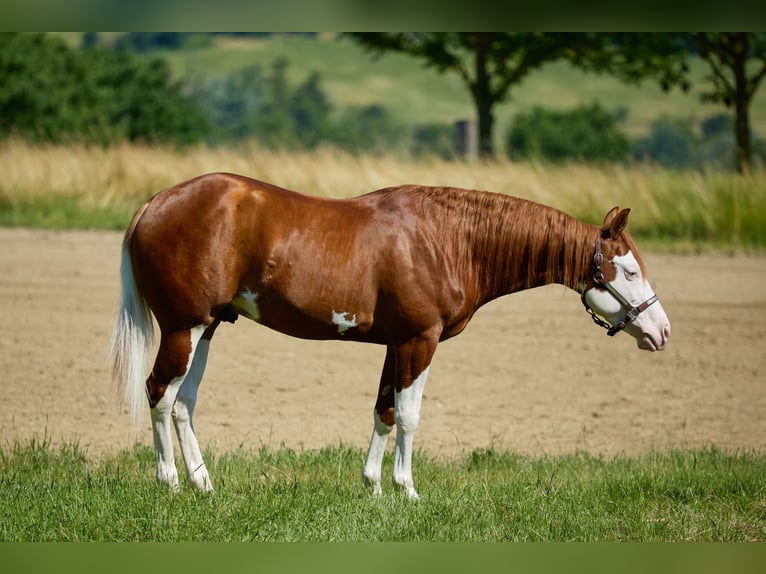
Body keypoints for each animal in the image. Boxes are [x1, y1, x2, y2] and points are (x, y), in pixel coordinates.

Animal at [110, 172, 671, 499]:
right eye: (627, 271)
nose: (661, 331)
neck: (448, 239)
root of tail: (153, 204)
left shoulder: (394, 343)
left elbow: (383, 411)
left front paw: (374, 487)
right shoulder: (419, 341)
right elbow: (409, 415)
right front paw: (407, 489)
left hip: (207, 329)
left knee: (184, 402)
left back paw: (203, 483)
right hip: (184, 327)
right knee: (159, 395)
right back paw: (170, 483)